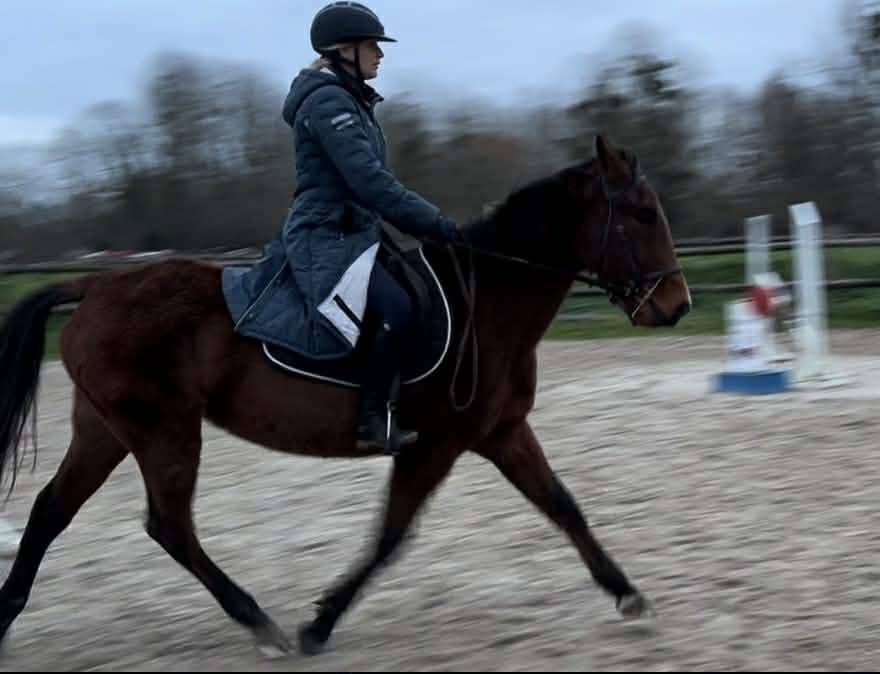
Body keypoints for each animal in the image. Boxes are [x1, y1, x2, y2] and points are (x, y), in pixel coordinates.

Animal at [0, 134, 691, 658]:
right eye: (643, 215)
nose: (676, 305)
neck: (488, 302)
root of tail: (95, 285)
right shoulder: (436, 444)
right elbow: (390, 535)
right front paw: (319, 623)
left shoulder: (501, 432)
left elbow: (563, 506)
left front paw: (627, 592)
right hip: (164, 431)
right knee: (169, 526)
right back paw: (262, 625)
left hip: (105, 429)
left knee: (52, 511)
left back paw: (7, 613)